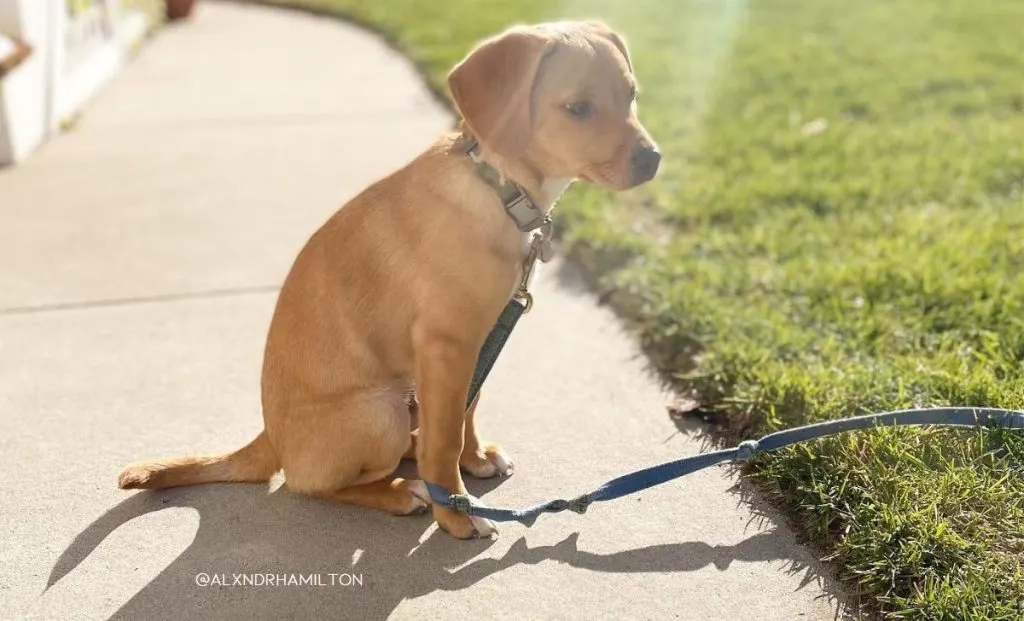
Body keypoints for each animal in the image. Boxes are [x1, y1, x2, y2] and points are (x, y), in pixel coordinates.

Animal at [119, 19, 659, 541]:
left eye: (633, 95)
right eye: (578, 108)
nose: (653, 160)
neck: (497, 188)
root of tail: (270, 437)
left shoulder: (476, 340)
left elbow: (466, 408)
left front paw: (474, 459)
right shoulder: (448, 343)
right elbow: (446, 438)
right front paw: (456, 512)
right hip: (381, 411)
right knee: (311, 483)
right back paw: (401, 492)